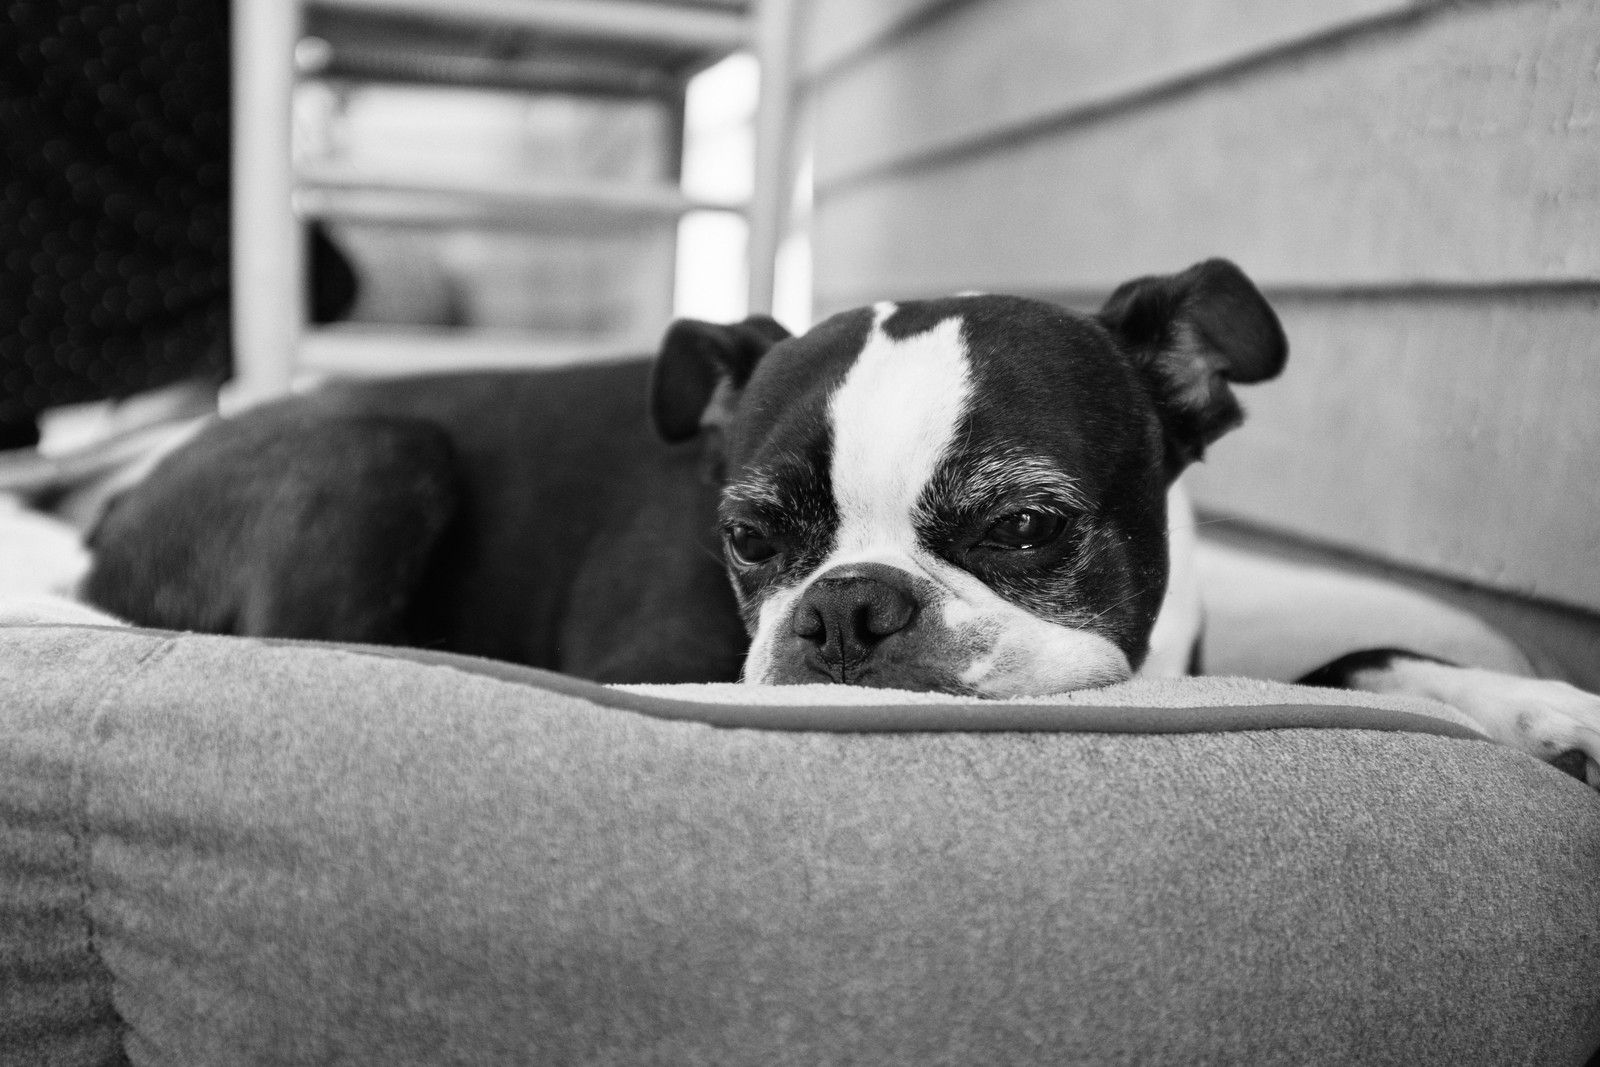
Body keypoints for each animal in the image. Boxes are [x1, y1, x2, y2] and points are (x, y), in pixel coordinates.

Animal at [78, 262, 1600, 790]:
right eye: (752, 539)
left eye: (1028, 526)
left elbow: (1362, 659)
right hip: (378, 449)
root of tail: (109, 511)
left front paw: (1542, 704)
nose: (848, 603)